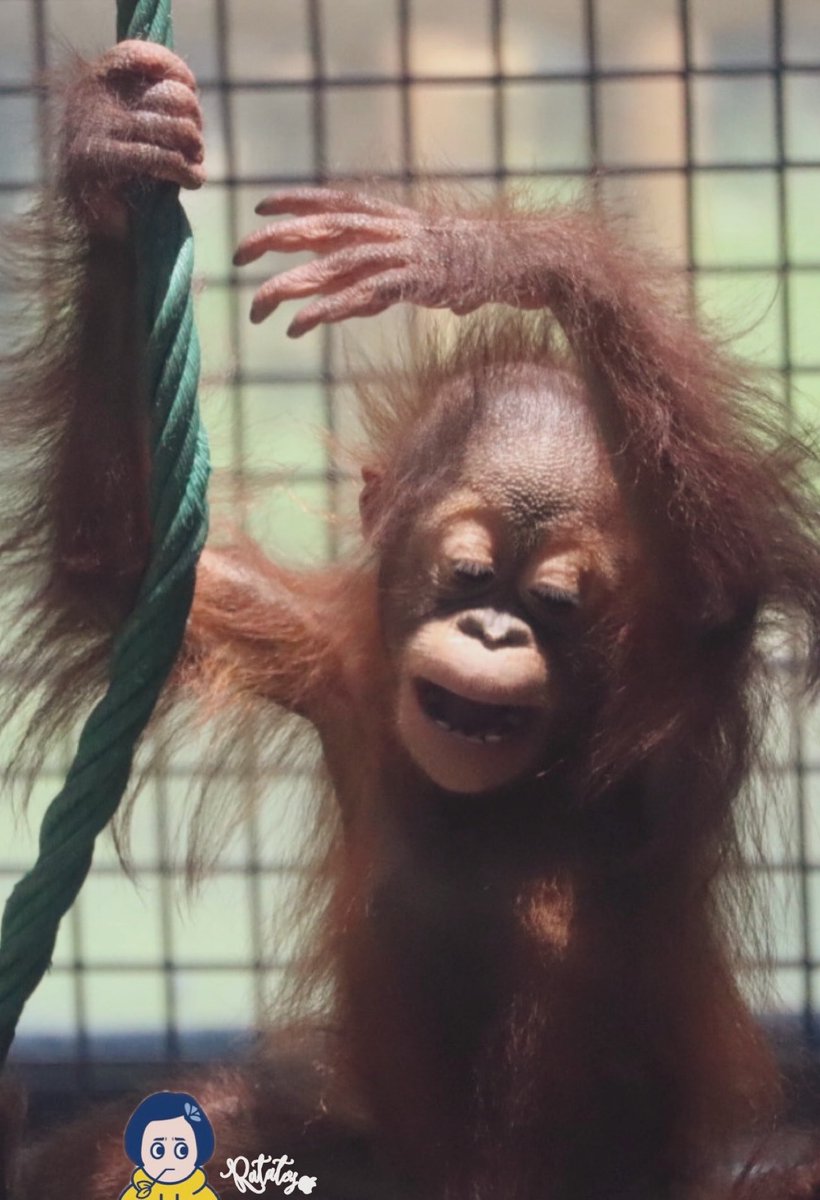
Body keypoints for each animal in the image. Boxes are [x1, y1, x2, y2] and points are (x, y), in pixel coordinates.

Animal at [2, 36, 820, 1200]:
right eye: (466, 577)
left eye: (551, 604)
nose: (493, 635)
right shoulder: (334, 661)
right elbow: (120, 569)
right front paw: (117, 155)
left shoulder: (668, 697)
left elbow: (721, 588)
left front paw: (486, 257)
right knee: (195, 1125)